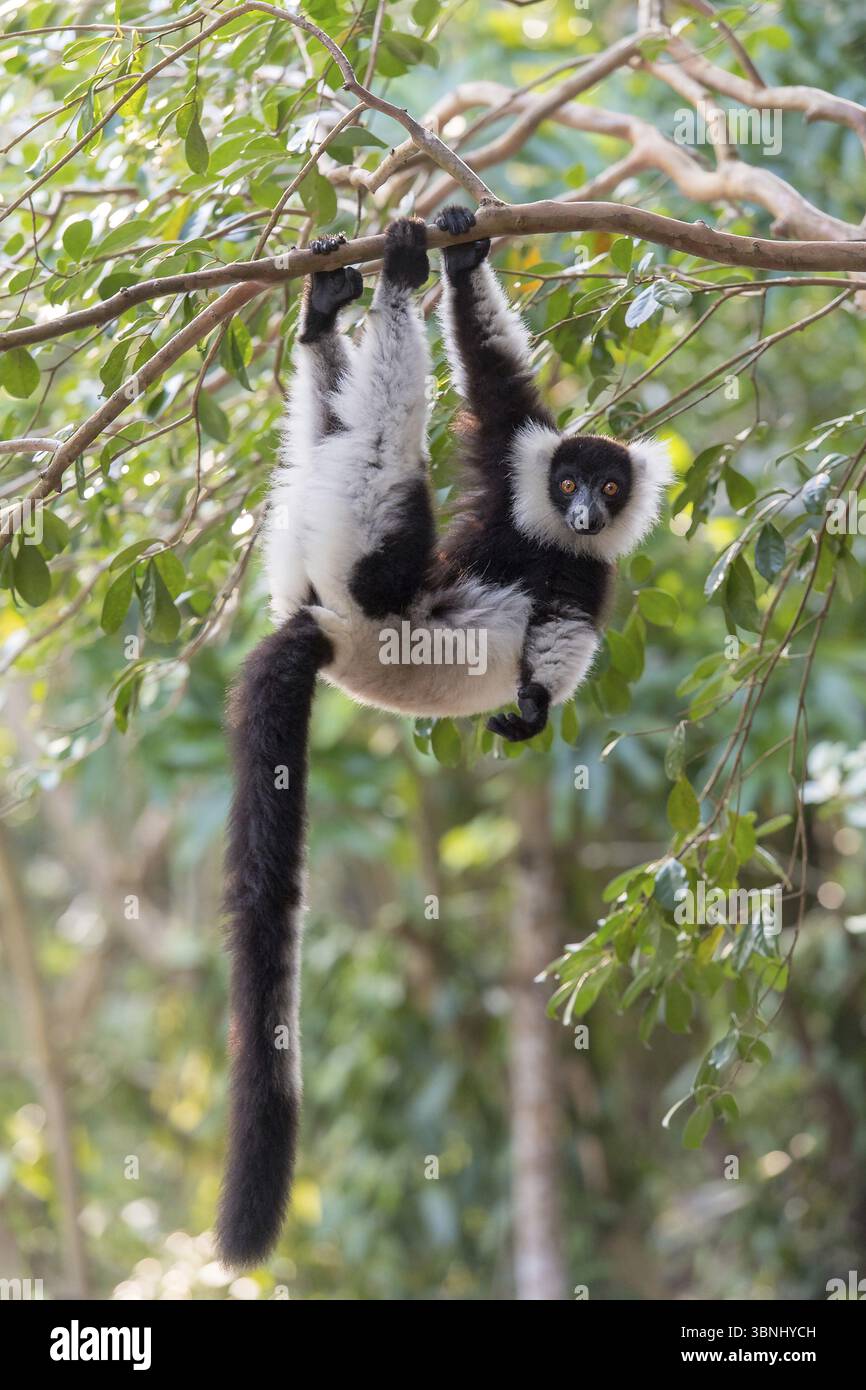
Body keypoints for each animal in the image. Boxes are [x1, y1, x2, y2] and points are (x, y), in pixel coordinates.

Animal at [216, 207, 671, 1268]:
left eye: (610, 487)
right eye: (570, 476)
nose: (582, 510)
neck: (545, 541)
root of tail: (329, 634)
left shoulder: (583, 572)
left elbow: (557, 638)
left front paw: (528, 707)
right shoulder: (523, 498)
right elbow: (497, 382)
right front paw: (464, 259)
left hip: (323, 569)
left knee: (339, 442)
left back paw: (332, 313)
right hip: (375, 586)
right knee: (392, 465)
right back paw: (395, 278)